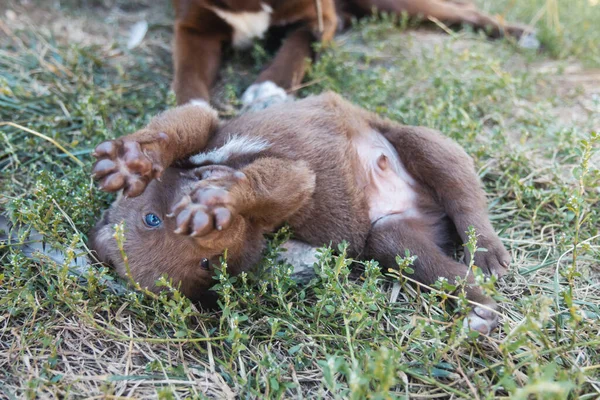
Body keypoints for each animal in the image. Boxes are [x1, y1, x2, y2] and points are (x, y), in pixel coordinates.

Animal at [89, 92, 510, 332]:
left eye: (151, 218)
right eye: (209, 265)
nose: (209, 229)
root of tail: (422, 206)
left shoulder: (212, 127)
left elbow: (178, 128)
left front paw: (134, 161)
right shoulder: (292, 186)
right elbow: (268, 185)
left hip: (422, 143)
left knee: (465, 200)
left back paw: (489, 254)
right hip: (392, 238)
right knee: (446, 271)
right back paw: (480, 313)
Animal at [171, 0, 532, 108]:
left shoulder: (318, 18)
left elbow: (298, 46)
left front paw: (269, 87)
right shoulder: (192, 29)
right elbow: (187, 76)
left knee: (466, 12)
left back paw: (522, 34)